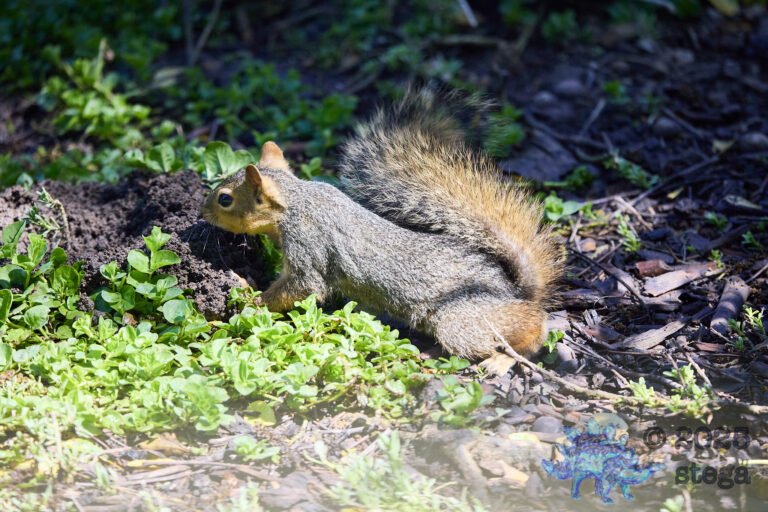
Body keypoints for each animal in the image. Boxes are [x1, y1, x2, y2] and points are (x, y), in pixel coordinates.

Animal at [200, 88, 562, 374]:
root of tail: (512, 290)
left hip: (463, 319)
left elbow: (303, 286)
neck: (298, 203)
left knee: (532, 330)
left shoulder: (308, 244)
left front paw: (250, 296)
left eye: (225, 199)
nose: (202, 212)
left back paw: (501, 359)